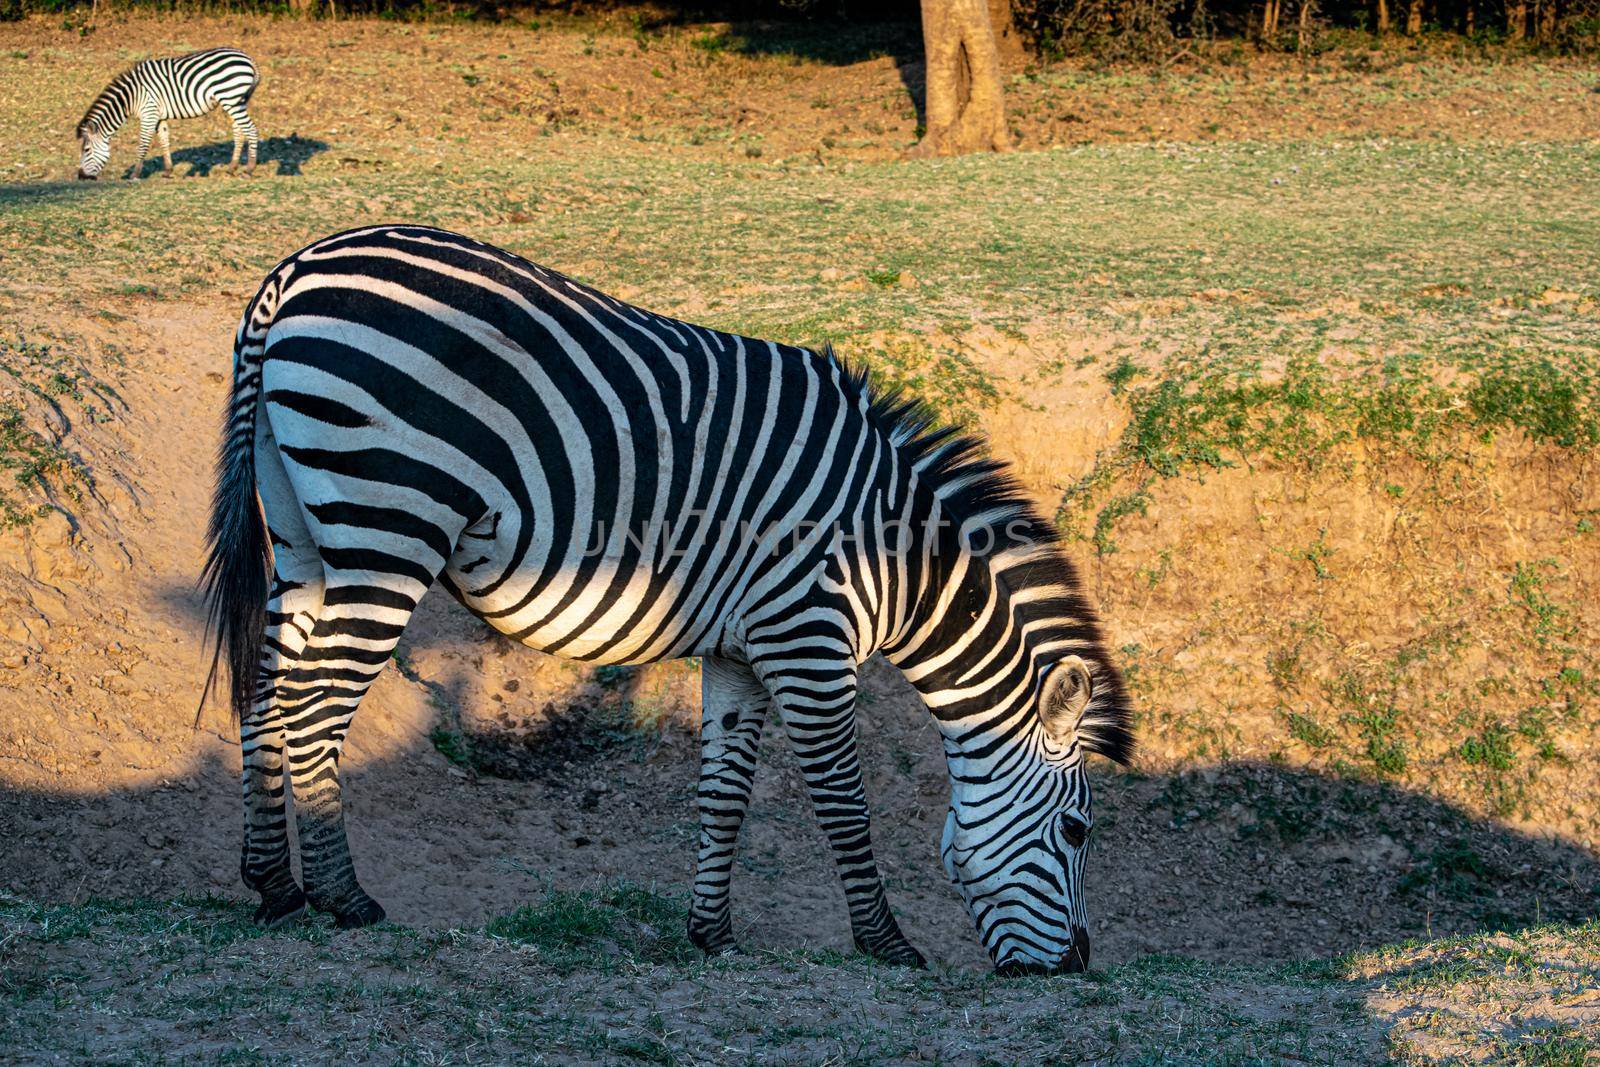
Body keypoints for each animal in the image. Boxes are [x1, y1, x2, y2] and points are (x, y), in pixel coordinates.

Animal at [76, 47, 259, 181]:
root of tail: (249, 59)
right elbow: (164, 141)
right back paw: (232, 168)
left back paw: (249, 169)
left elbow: (143, 144)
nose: (81, 176)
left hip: (231, 99)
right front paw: (168, 171)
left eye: (86, 150)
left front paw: (134, 175)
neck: (132, 96)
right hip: (237, 101)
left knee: (251, 129)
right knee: (239, 131)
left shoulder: (148, 113)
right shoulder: (158, 116)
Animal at [203, 225, 1139, 979]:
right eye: (1077, 832)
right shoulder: (807, 636)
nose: (1076, 968)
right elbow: (843, 796)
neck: (896, 559)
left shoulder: (741, 649)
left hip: (304, 535)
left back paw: (273, 883)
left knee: (266, 686)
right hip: (390, 524)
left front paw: (712, 934)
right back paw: (344, 896)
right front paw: (887, 943)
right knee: (315, 702)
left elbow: (724, 792)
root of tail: (294, 272)